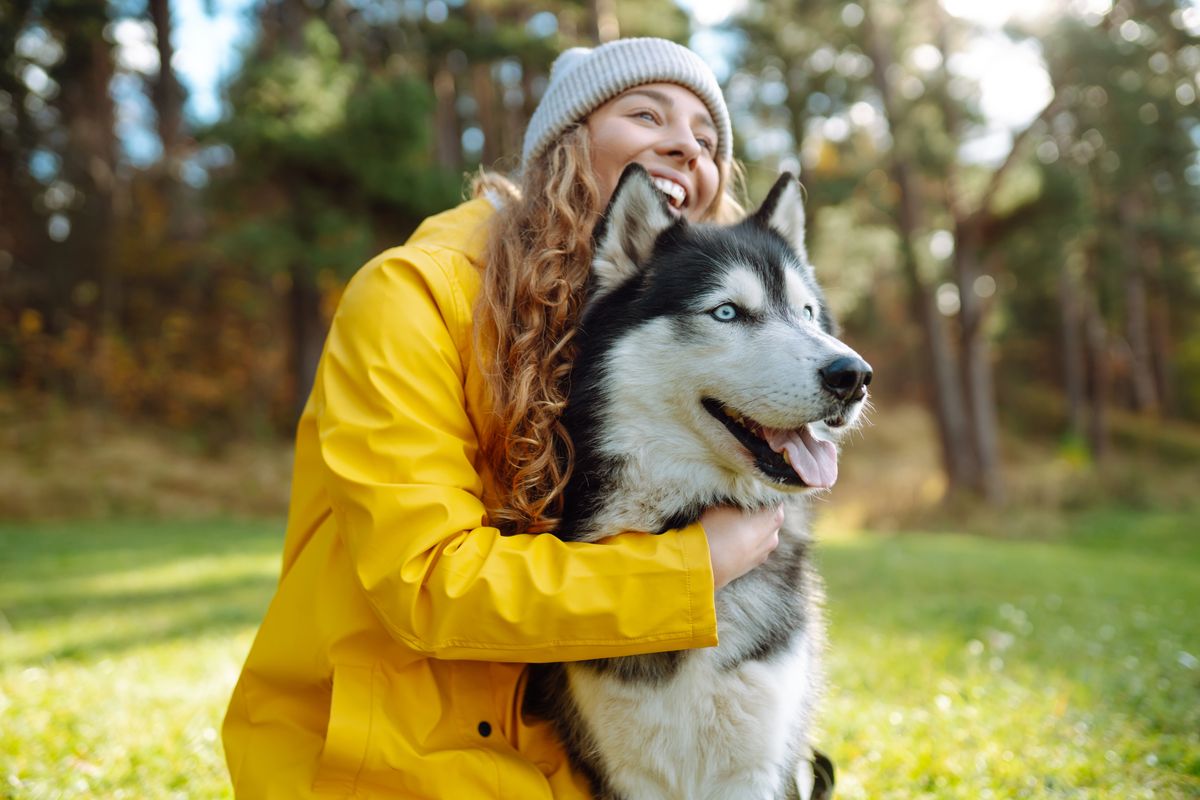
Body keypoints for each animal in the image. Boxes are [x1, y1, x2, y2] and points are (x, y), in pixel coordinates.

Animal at [525, 164, 873, 800]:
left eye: (808, 313)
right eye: (727, 312)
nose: (854, 375)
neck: (687, 515)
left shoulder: (757, 768)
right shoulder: (628, 772)